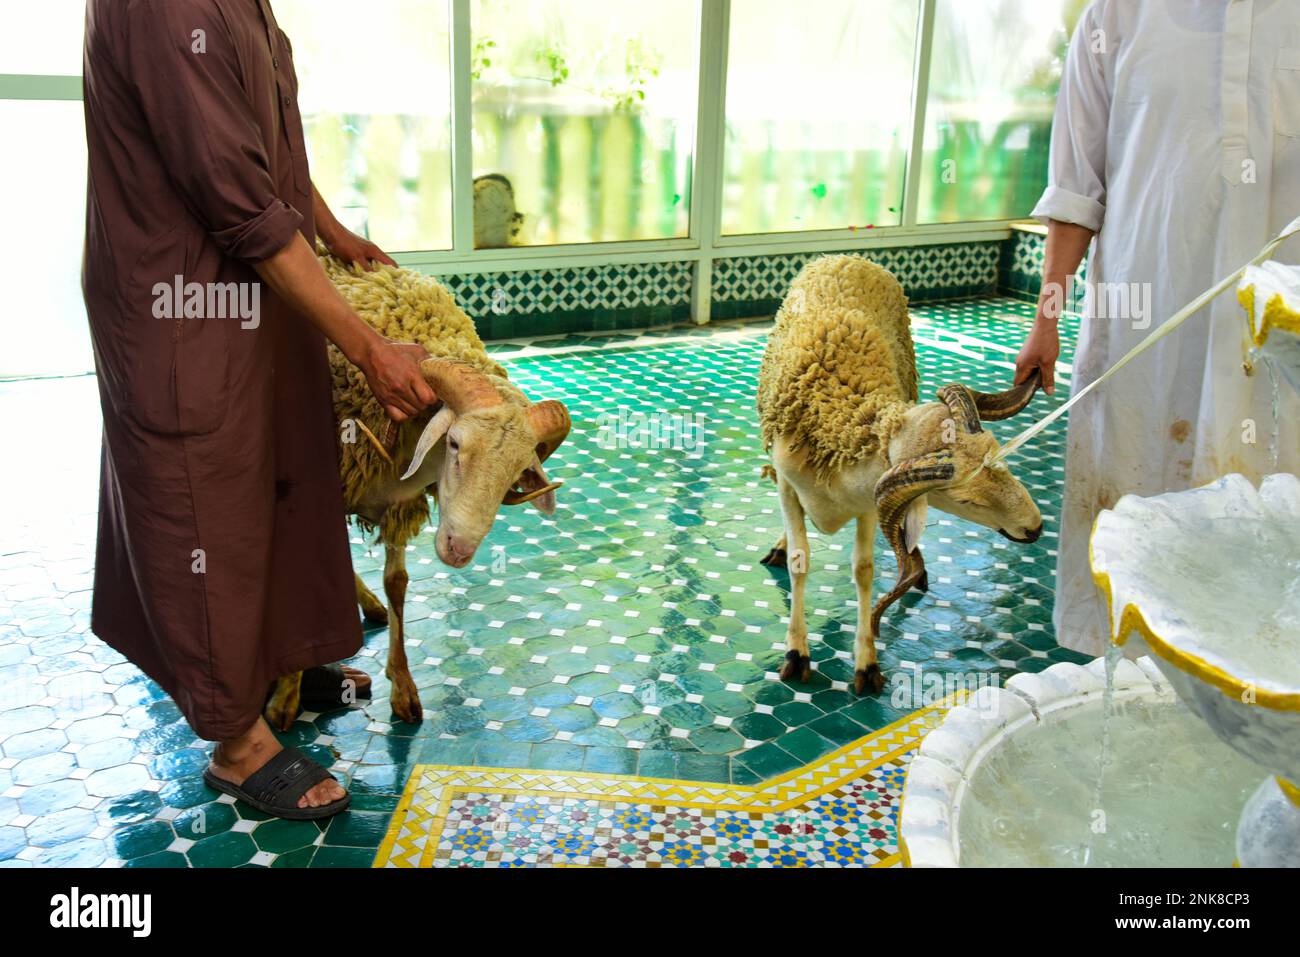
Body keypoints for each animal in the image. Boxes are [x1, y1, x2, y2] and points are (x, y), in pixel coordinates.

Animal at [262, 247, 569, 722]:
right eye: (455, 443)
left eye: (517, 471)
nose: (460, 550)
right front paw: (285, 696)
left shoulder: (400, 504)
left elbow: (398, 584)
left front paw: (402, 684)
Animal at [759, 254, 1040, 696]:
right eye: (963, 497)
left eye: (998, 454)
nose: (1036, 526)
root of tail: (847, 256)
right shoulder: (789, 487)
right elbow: (800, 564)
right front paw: (796, 654)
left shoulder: (868, 503)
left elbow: (864, 571)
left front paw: (867, 664)